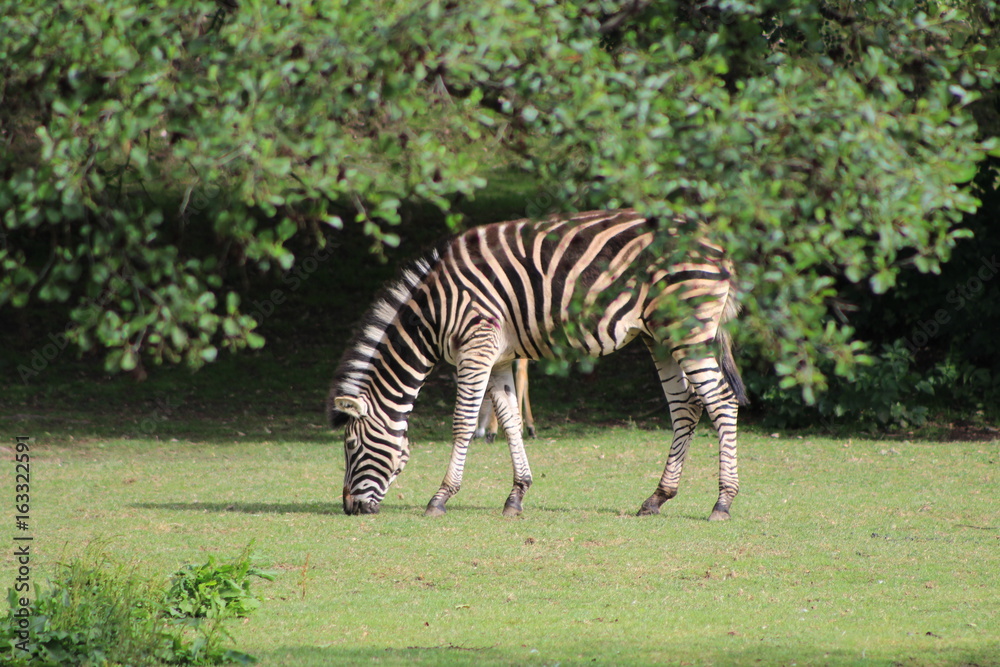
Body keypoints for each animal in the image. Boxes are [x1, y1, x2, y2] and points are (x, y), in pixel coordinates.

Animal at [332, 209, 748, 520]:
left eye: (351, 446)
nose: (349, 508)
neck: (434, 312)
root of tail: (716, 241)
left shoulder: (476, 347)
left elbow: (463, 423)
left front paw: (441, 497)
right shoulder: (499, 357)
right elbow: (510, 422)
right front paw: (516, 495)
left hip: (687, 329)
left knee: (721, 402)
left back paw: (723, 502)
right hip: (660, 337)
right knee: (686, 407)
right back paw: (658, 497)